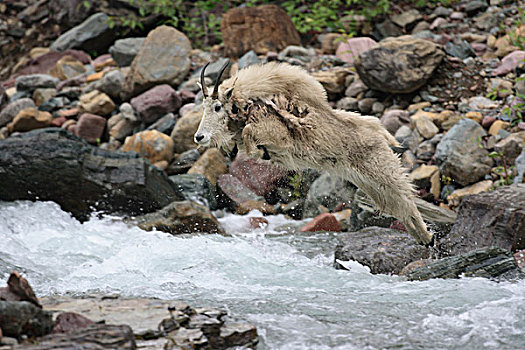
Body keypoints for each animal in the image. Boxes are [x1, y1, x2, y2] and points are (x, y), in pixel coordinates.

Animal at [194, 60, 432, 246]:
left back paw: (427, 237)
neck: (248, 104)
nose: (199, 137)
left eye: (217, 107)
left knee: (407, 199)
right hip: (371, 185)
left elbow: (249, 132)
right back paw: (422, 238)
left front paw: (257, 151)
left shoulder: (277, 136)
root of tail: (382, 135)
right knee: (397, 205)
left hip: (383, 171)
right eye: (203, 107)